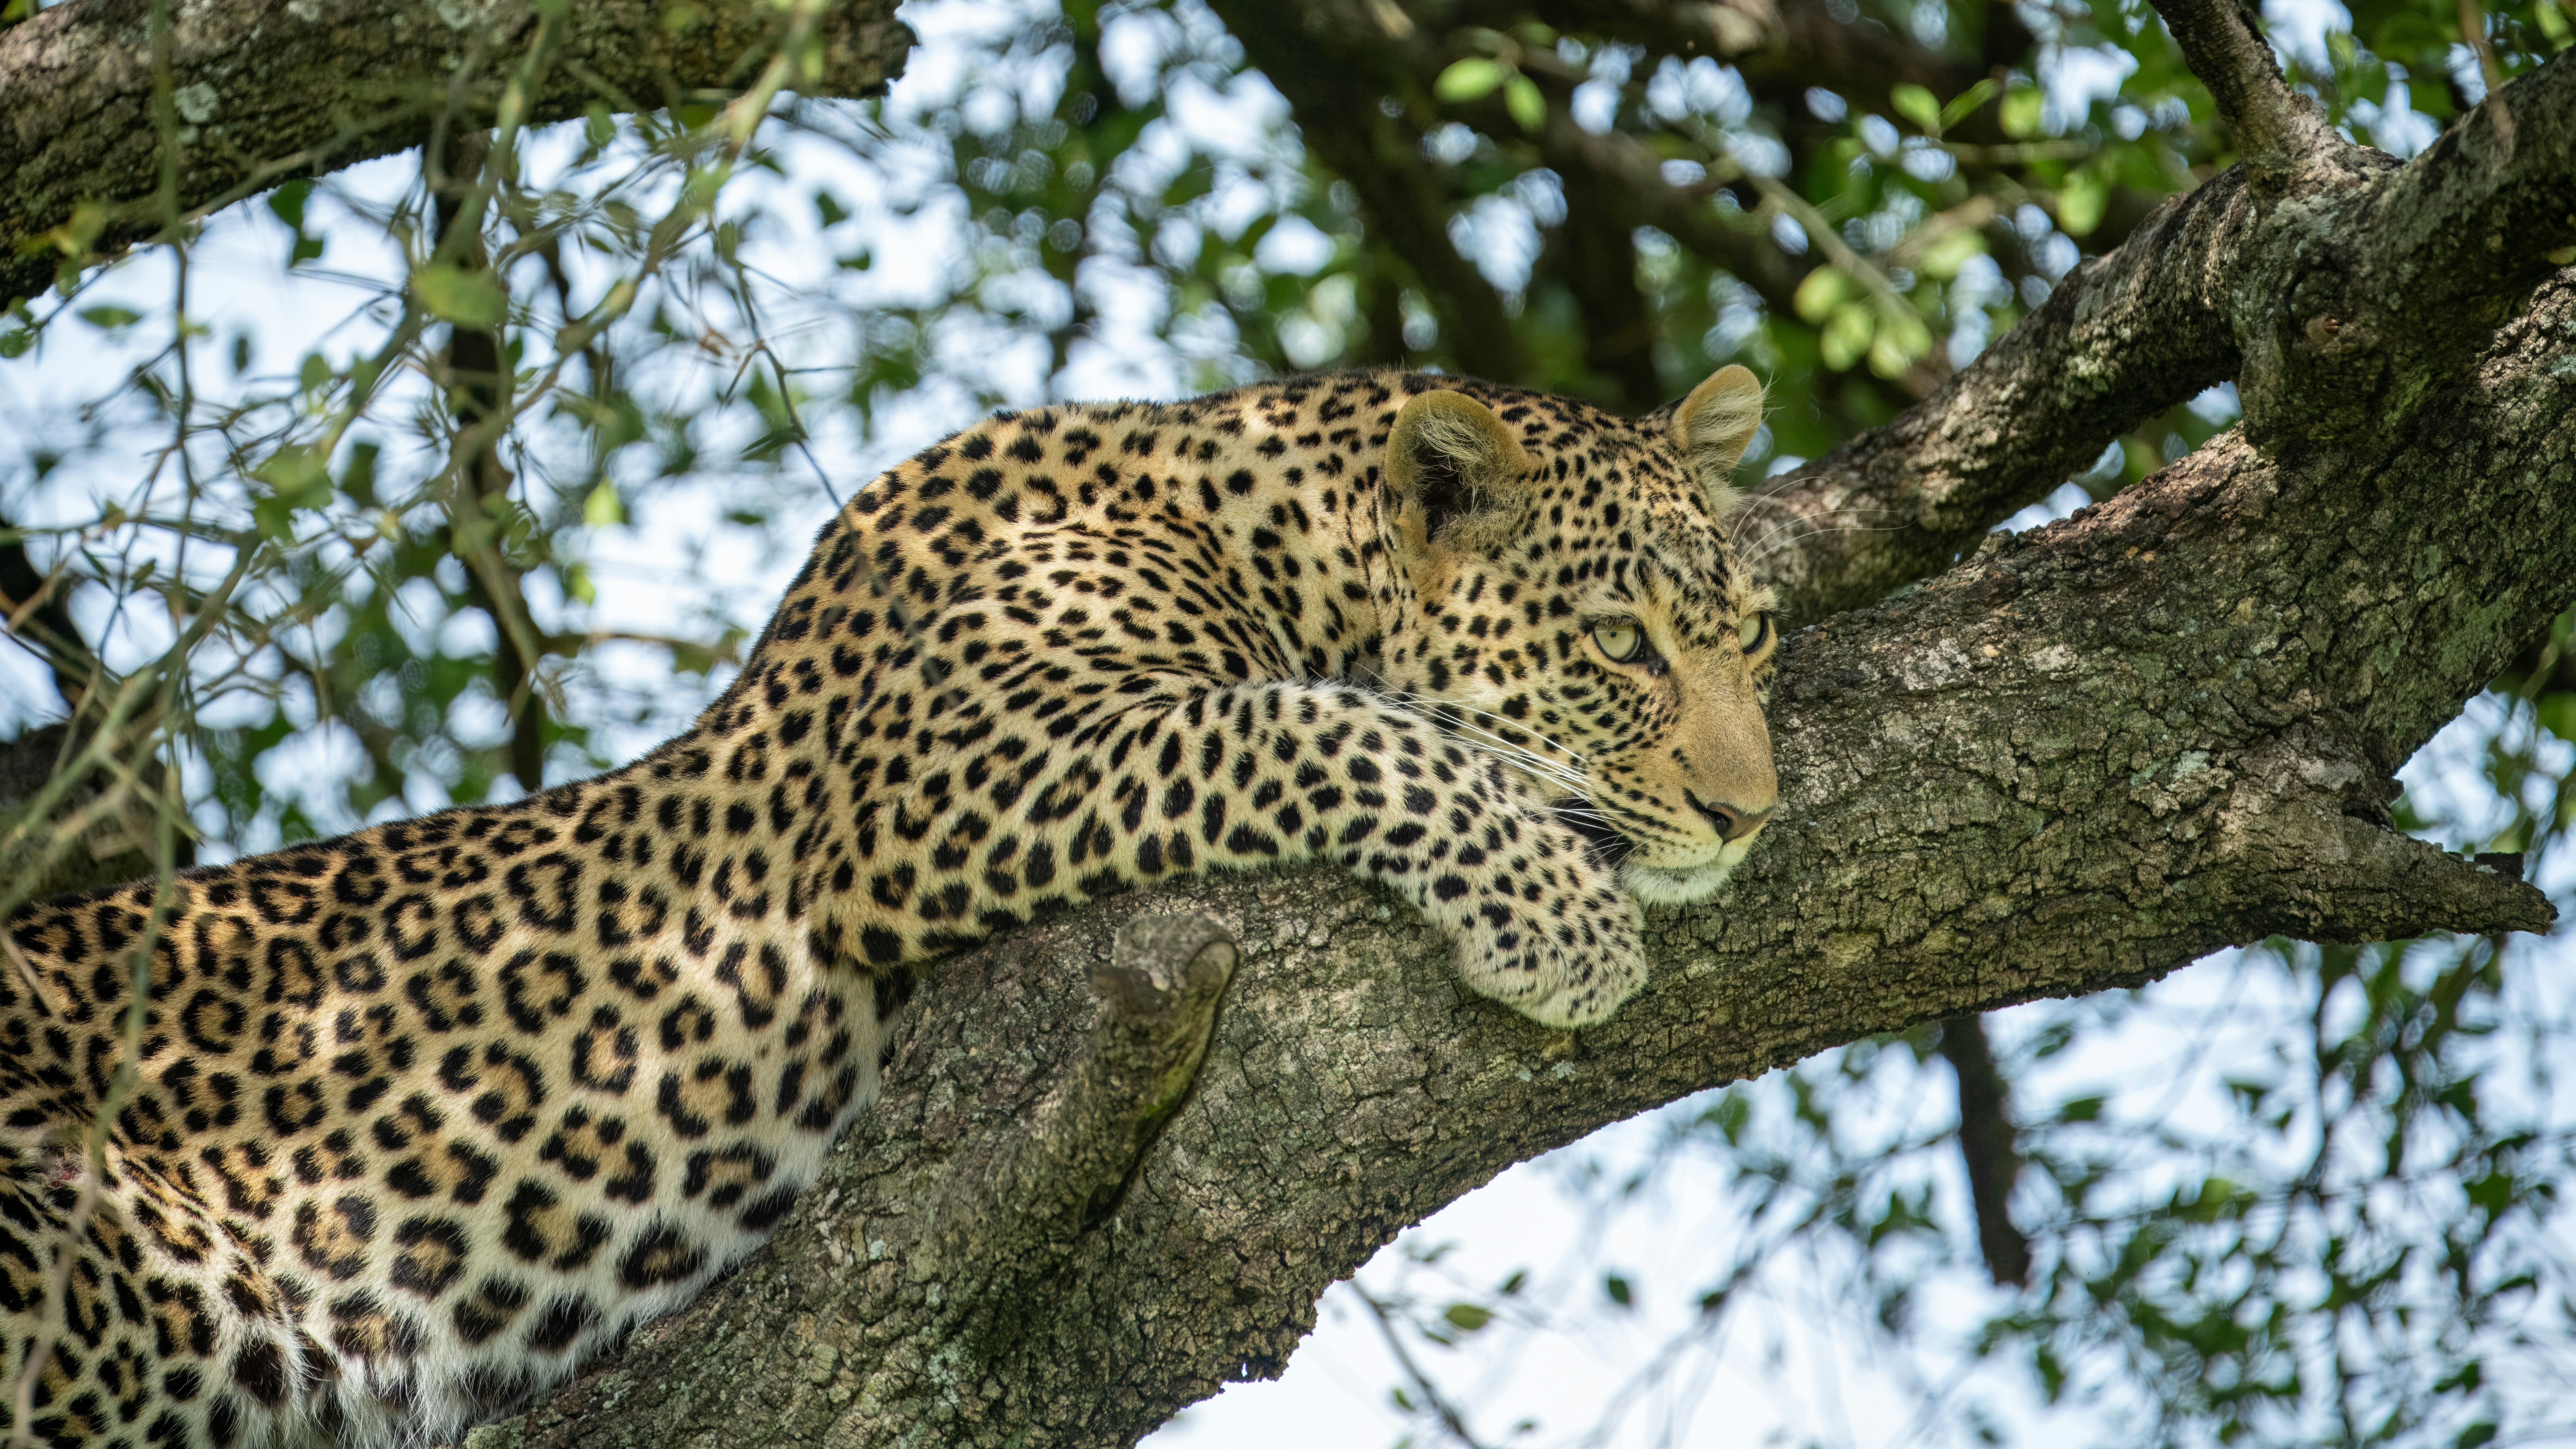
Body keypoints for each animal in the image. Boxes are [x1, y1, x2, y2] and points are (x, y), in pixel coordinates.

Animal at [0, 365, 1781, 1449]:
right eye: (1617, 644)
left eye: (1752, 634)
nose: (1749, 813)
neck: (1259, 527)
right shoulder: (951, 769)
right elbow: (1309, 721)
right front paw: (1558, 914)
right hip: (117, 1270)